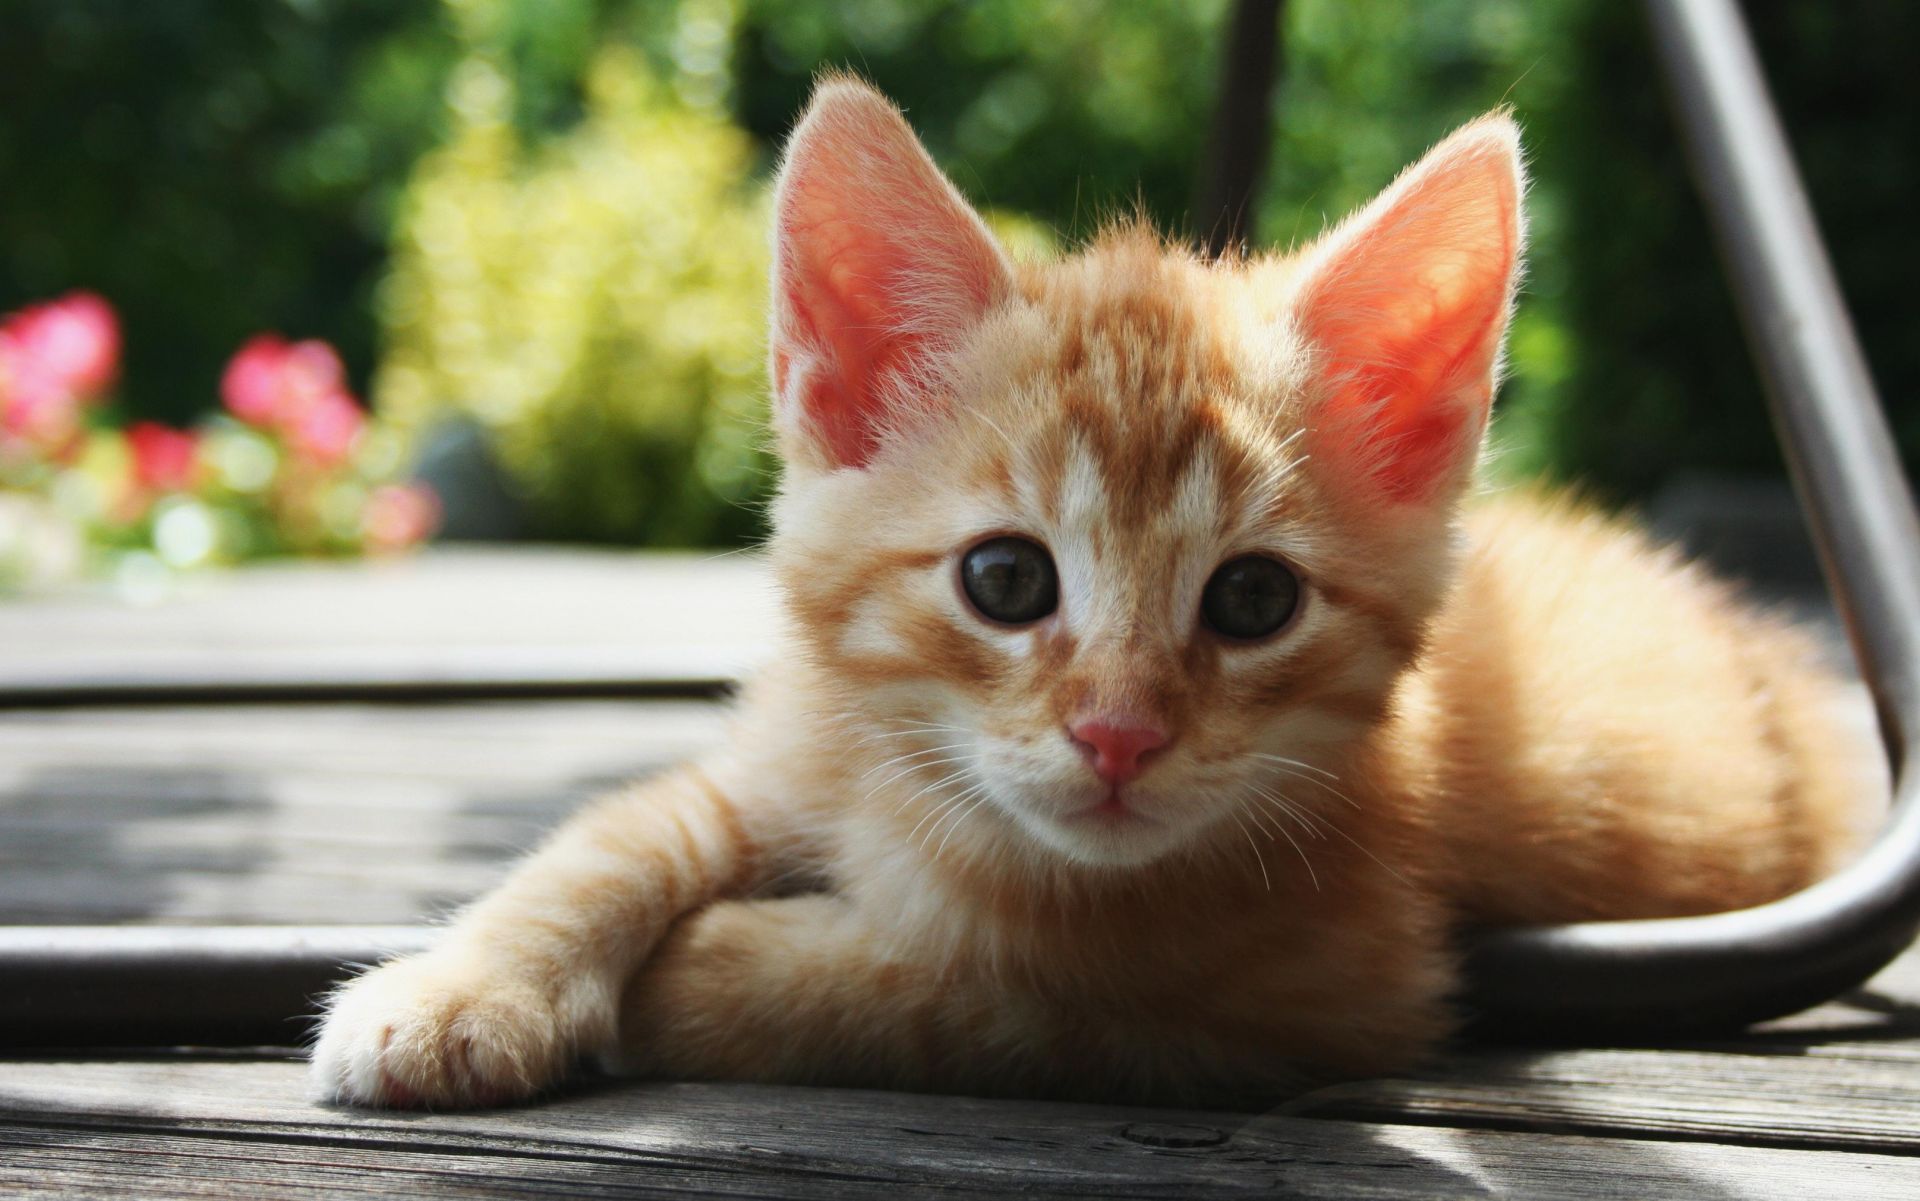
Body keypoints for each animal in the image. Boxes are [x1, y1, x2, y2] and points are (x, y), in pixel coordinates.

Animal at [307, 74, 1866, 1105]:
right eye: (1005, 579)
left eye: (1252, 603)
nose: (1119, 736)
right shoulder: (801, 742)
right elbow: (625, 828)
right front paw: (462, 985)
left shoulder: (1317, 987)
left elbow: (949, 986)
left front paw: (706, 972)